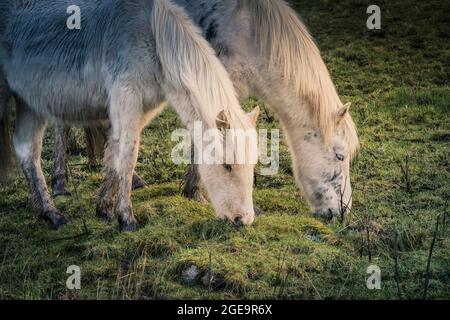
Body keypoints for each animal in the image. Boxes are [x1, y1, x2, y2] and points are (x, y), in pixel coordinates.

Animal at [0, 0, 258, 230]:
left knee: (27, 150)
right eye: (227, 165)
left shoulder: (138, 111)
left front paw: (104, 209)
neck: (152, 36)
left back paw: (51, 214)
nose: (243, 219)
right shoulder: (126, 101)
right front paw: (126, 219)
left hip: (29, 104)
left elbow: (114, 155)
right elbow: (128, 156)